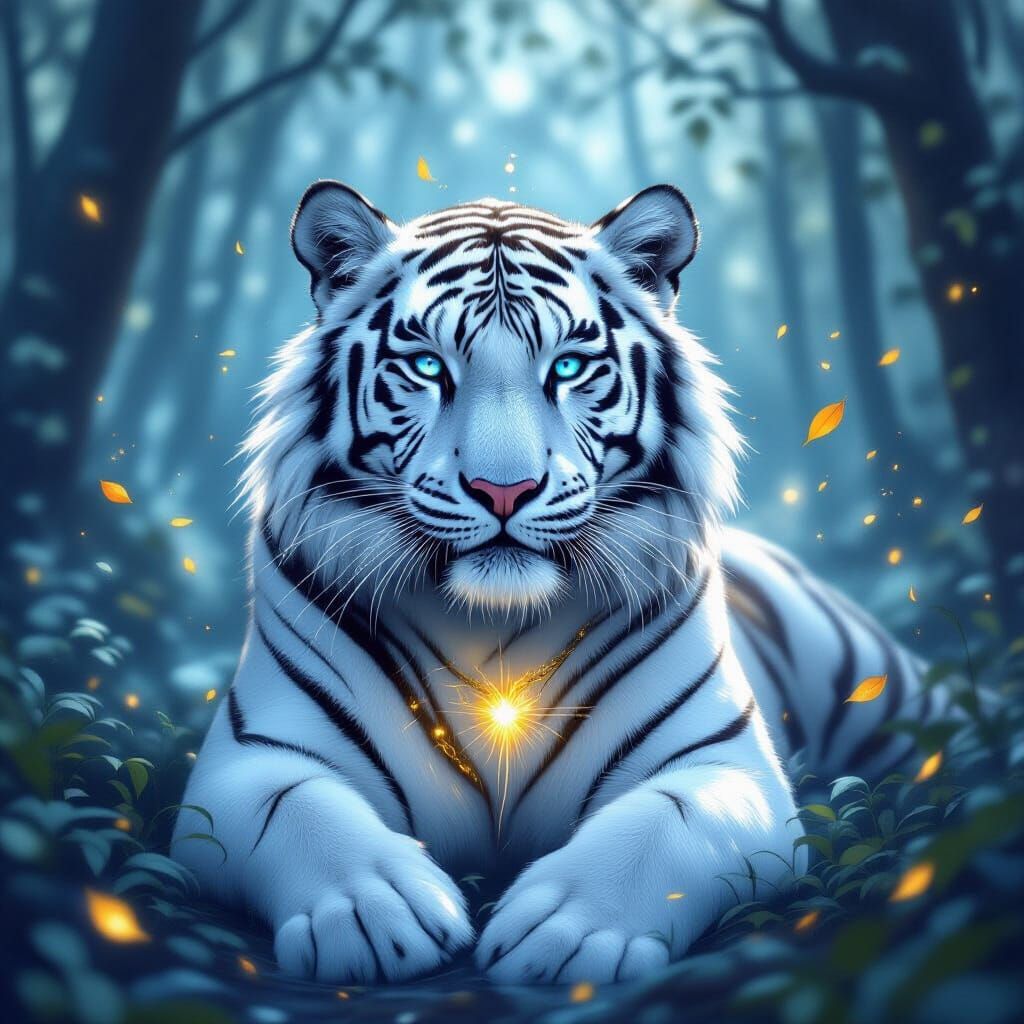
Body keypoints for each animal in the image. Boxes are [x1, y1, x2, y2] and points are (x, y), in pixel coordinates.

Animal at [173, 182, 927, 986]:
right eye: (427, 366)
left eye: (567, 369)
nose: (503, 490)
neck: (492, 626)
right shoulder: (247, 761)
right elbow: (298, 805)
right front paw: (372, 910)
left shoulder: (722, 763)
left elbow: (665, 821)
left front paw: (568, 928)